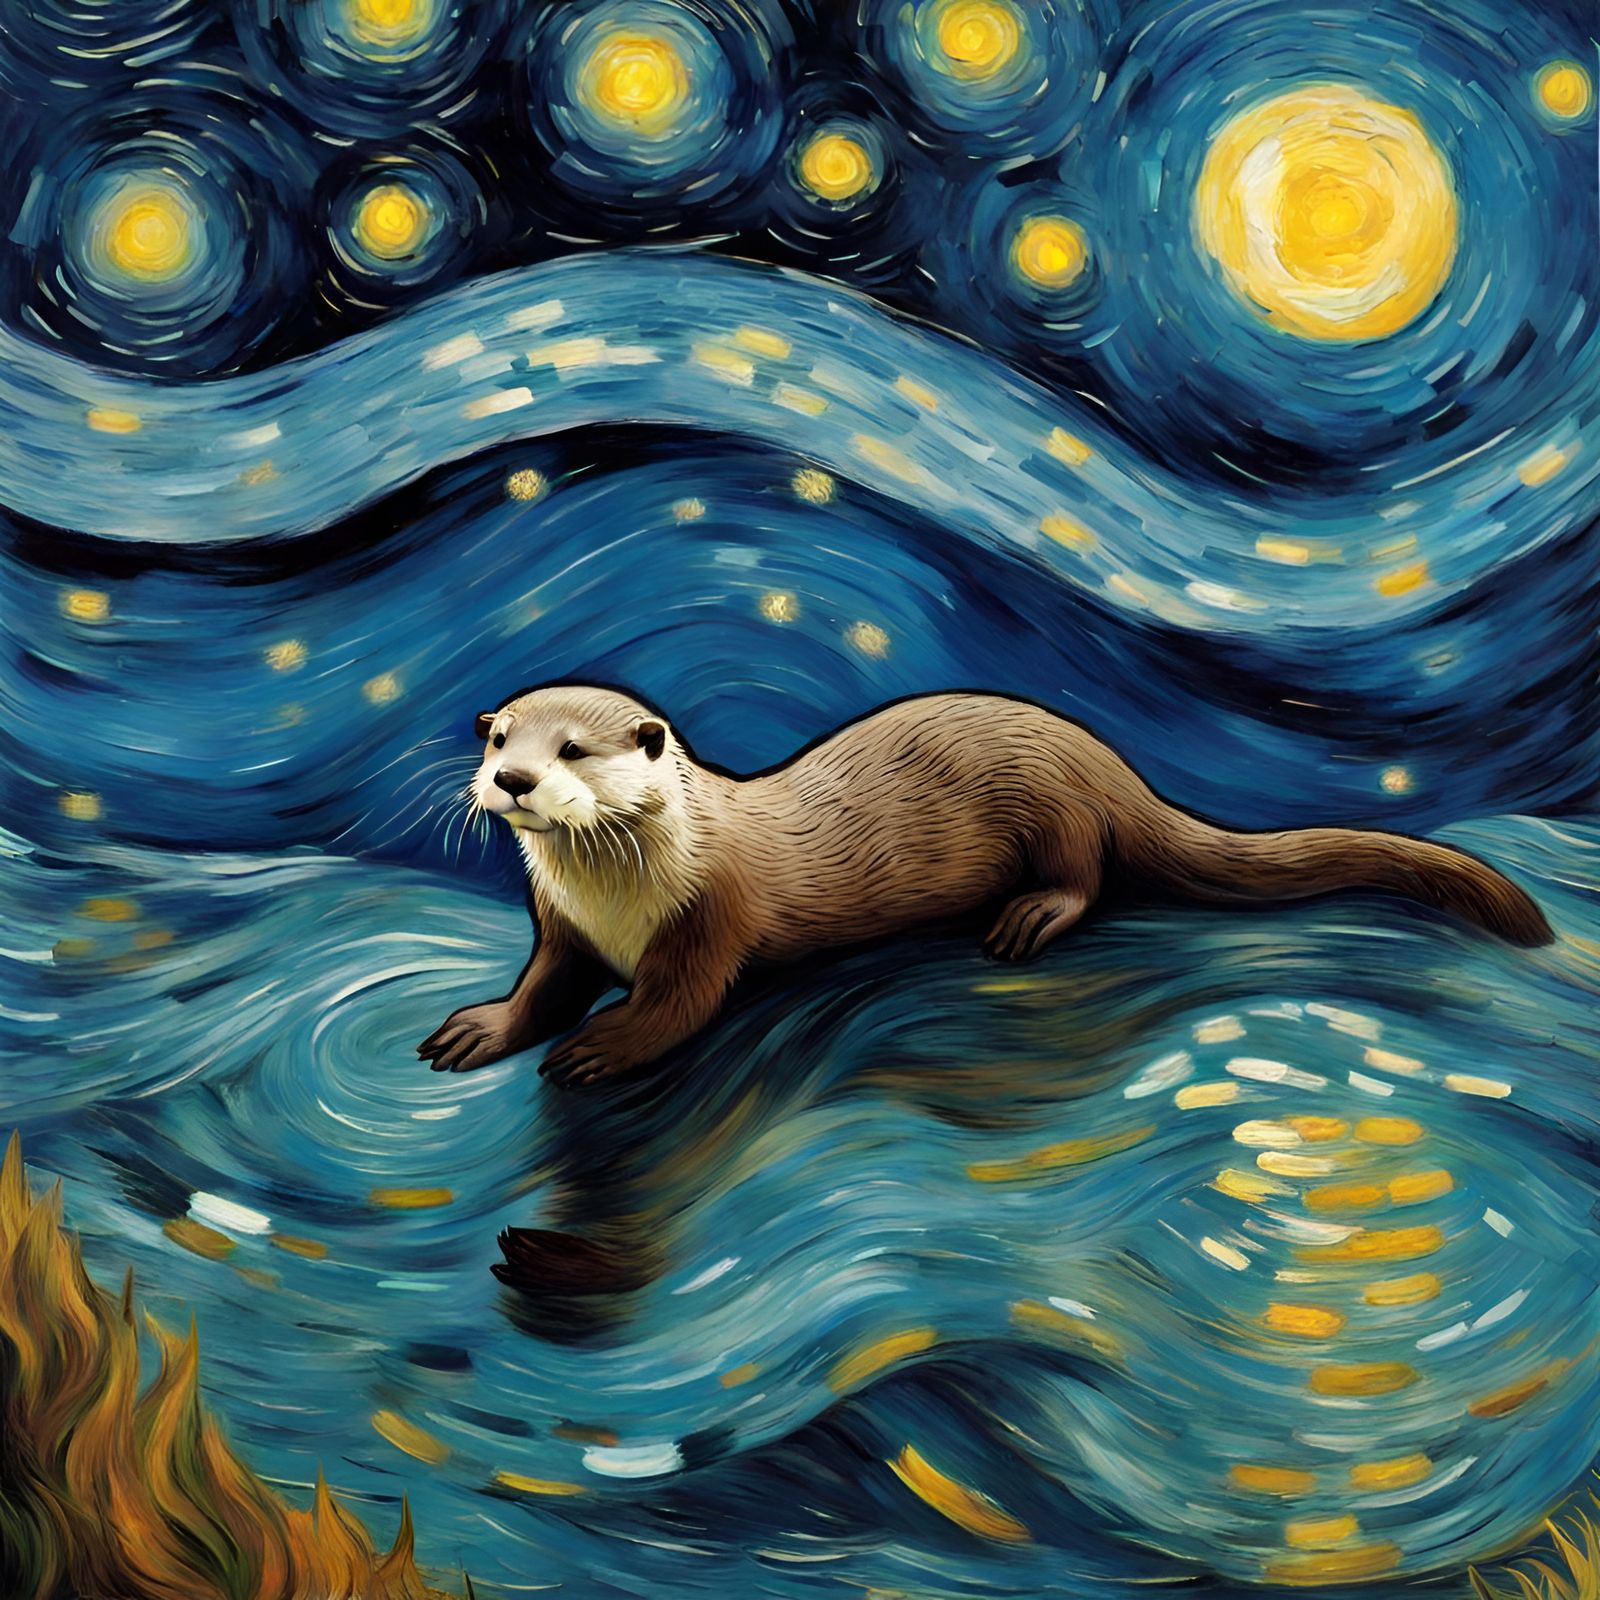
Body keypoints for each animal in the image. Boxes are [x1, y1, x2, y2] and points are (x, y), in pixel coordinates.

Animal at [417, 685, 1552, 1089]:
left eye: (574, 747)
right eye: (500, 735)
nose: (513, 782)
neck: (615, 904)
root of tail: (1107, 760)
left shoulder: (710, 917)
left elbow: (677, 1005)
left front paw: (601, 1046)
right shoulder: (560, 928)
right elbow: (542, 990)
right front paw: (480, 1027)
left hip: (1055, 812)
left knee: (1088, 876)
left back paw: (1028, 917)